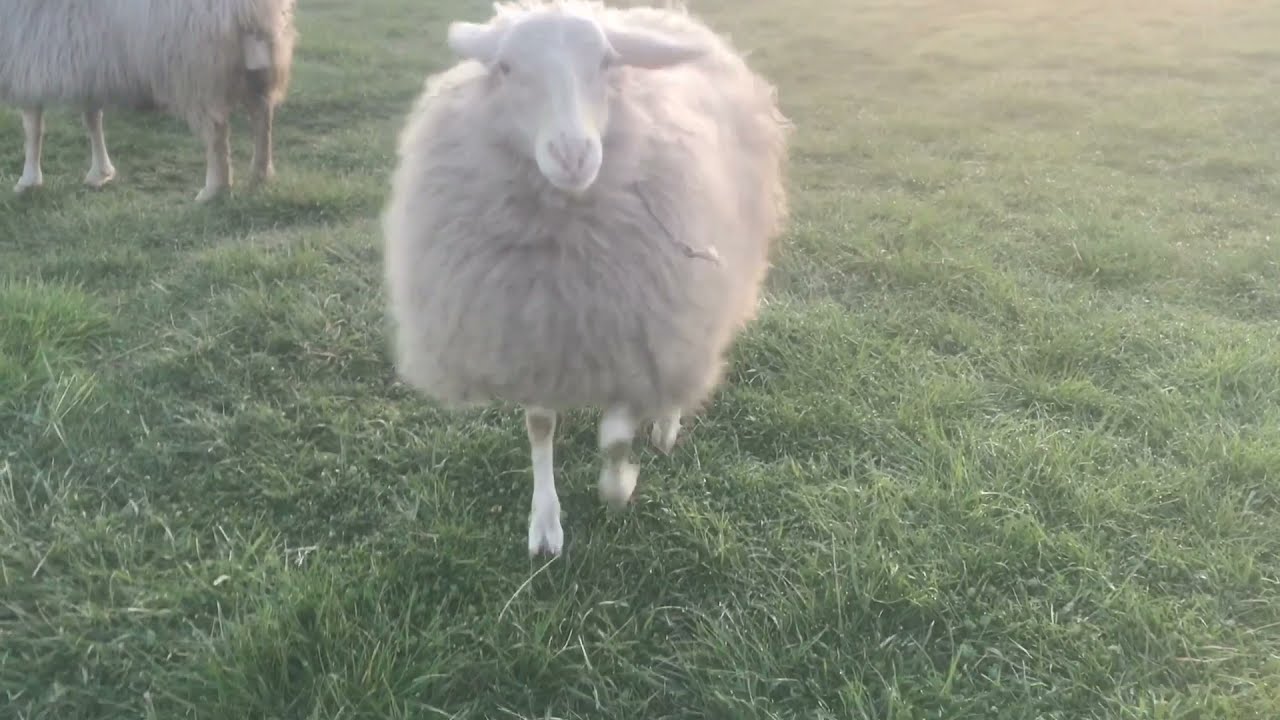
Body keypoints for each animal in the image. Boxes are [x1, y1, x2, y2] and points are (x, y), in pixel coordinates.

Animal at [0, 0, 297, 203]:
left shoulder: (25, 56)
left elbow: (33, 128)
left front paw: (28, 181)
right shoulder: (91, 61)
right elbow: (92, 119)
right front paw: (101, 172)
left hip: (197, 64)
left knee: (217, 131)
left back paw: (214, 189)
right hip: (254, 64)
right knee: (262, 116)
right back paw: (259, 173)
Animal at [382, 0, 791, 557]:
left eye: (606, 63)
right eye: (506, 67)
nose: (573, 155)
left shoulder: (632, 332)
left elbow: (616, 439)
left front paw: (618, 486)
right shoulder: (534, 332)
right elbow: (540, 426)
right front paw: (545, 525)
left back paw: (666, 424)